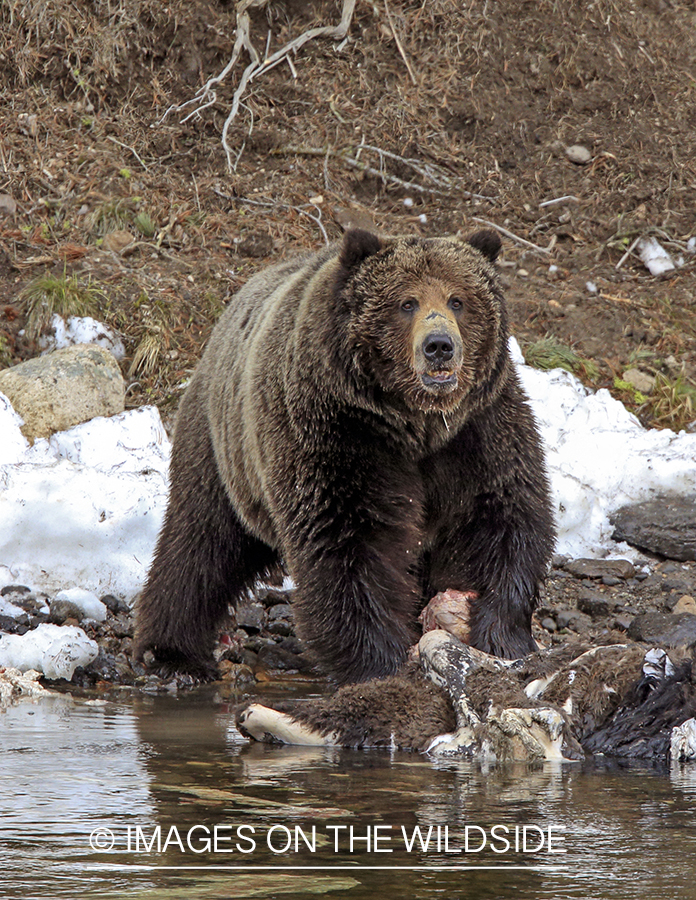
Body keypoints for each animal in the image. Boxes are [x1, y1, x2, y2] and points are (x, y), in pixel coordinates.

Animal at [135, 230, 556, 684]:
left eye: (457, 300)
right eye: (406, 302)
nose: (439, 346)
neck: (415, 424)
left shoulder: (479, 430)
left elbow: (503, 518)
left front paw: (499, 634)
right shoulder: (337, 433)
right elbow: (347, 541)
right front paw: (378, 662)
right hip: (222, 448)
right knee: (199, 543)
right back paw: (172, 651)